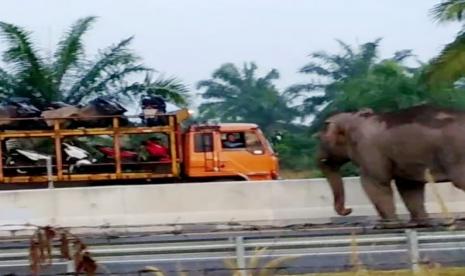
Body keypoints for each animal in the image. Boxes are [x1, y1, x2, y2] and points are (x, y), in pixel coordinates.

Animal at [314, 104, 464, 227]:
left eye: (321, 139)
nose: (349, 210)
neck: (355, 118)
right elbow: (408, 186)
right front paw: (419, 223)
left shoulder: (369, 150)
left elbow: (374, 182)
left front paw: (388, 225)